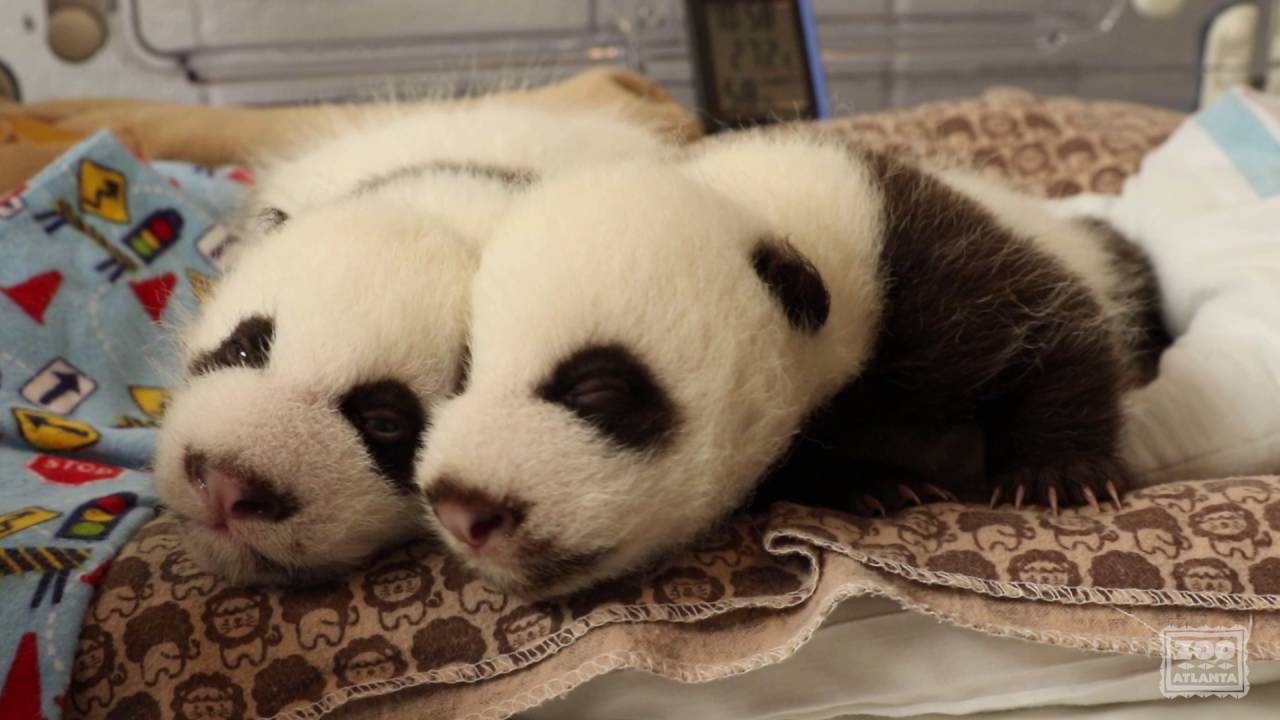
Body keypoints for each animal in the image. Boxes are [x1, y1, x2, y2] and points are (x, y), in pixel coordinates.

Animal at [415, 133, 1165, 599]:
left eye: (596, 389)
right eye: (465, 373)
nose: (462, 509)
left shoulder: (926, 271)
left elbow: (1054, 328)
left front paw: (1058, 475)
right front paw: (872, 484)